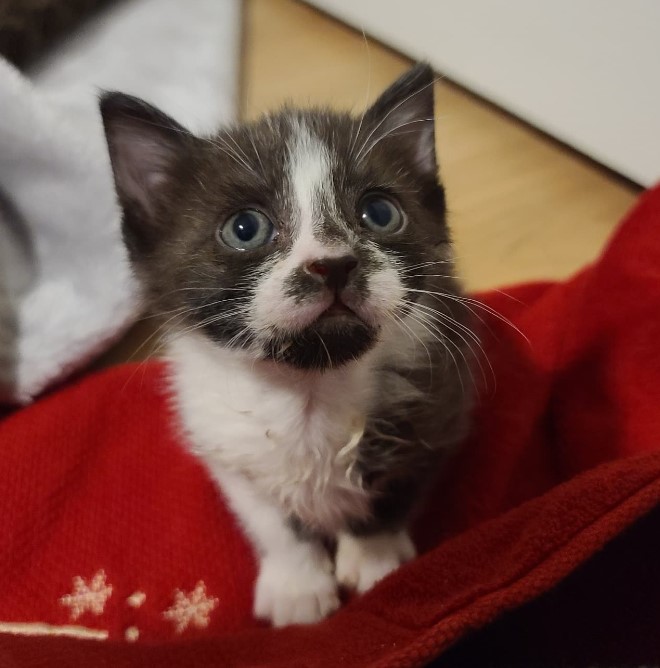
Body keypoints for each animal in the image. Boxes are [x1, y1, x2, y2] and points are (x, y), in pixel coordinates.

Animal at [100, 62, 474, 628]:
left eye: (380, 213)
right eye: (245, 228)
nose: (334, 264)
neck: (309, 389)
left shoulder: (439, 408)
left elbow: (393, 493)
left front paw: (375, 560)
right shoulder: (224, 445)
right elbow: (271, 519)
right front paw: (299, 587)